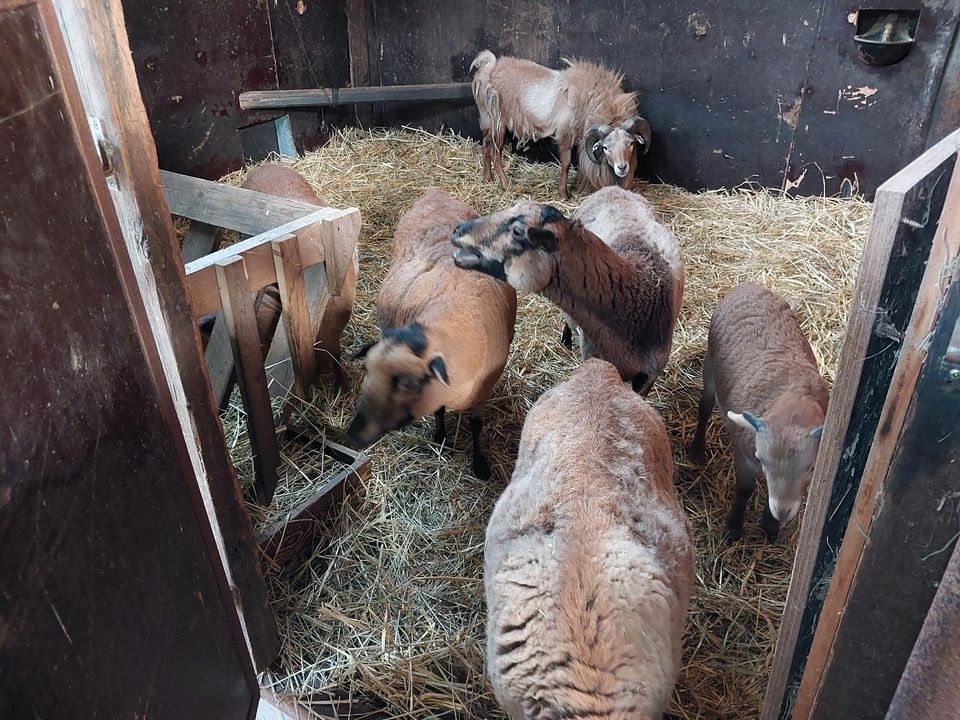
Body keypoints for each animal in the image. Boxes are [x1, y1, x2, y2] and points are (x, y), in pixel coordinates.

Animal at [346, 190, 516, 478]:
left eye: (409, 383)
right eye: (368, 371)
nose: (353, 434)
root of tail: (436, 192)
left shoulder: (485, 388)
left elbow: (476, 424)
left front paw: (480, 464)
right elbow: (438, 411)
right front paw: (440, 437)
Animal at [472, 50, 652, 200]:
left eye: (631, 144)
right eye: (606, 147)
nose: (622, 168)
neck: (594, 100)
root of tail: (488, 68)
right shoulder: (566, 133)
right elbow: (566, 164)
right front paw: (564, 194)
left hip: (488, 120)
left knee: (486, 145)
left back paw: (487, 178)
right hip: (498, 121)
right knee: (496, 152)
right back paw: (505, 184)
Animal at [688, 282, 828, 540]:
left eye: (810, 467)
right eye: (761, 459)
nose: (782, 512)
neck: (791, 397)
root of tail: (748, 285)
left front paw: (771, 525)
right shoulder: (742, 451)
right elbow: (745, 489)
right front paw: (733, 527)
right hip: (710, 366)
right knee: (705, 406)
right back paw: (697, 450)